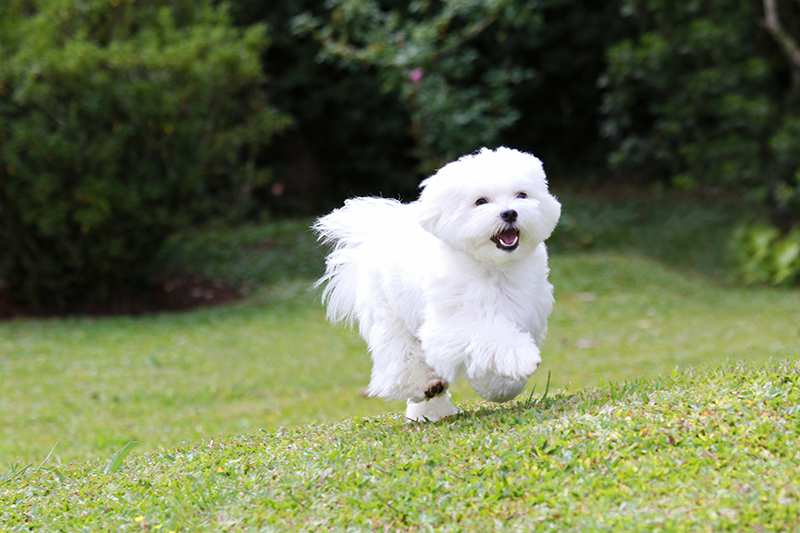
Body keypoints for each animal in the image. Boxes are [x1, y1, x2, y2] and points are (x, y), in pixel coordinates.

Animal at [314, 145, 564, 420]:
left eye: (522, 194)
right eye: (481, 201)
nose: (509, 213)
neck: (493, 268)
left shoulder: (528, 314)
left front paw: (500, 387)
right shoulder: (452, 325)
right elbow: (490, 336)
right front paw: (520, 359)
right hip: (390, 317)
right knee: (403, 359)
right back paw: (425, 387)